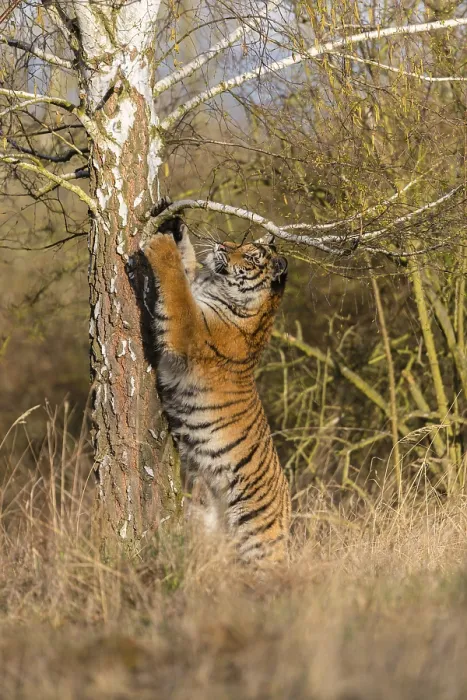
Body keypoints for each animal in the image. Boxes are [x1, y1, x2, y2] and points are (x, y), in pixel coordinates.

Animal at [142, 199, 291, 563]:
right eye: (240, 243)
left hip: (259, 540)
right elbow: (187, 265)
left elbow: (177, 290)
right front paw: (172, 220)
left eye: (250, 256)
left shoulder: (189, 331)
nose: (223, 246)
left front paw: (161, 246)